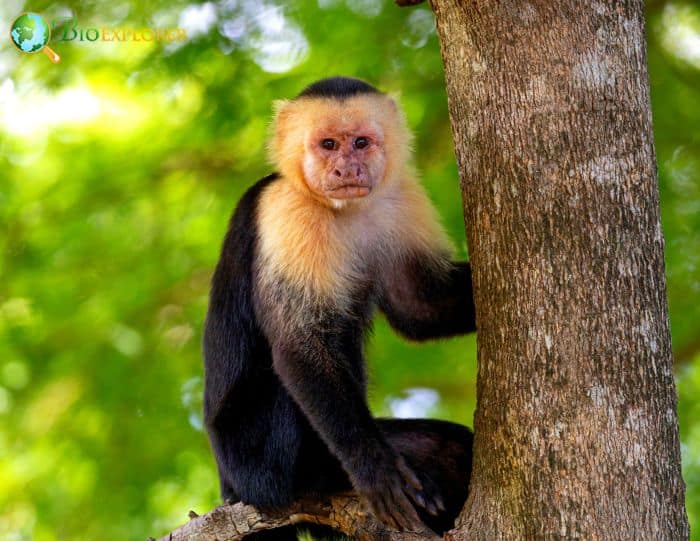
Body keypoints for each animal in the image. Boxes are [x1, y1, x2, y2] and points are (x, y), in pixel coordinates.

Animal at [202, 76, 476, 536]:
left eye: (361, 142)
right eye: (328, 144)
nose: (346, 168)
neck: (344, 209)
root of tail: (229, 488)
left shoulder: (401, 198)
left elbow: (421, 306)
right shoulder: (287, 212)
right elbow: (301, 344)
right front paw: (374, 468)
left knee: (452, 446)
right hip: (252, 460)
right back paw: (322, 474)